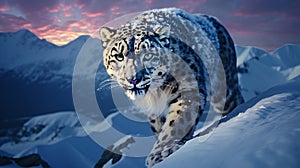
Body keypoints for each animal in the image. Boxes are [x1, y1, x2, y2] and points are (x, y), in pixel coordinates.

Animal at [98, 7, 244, 167]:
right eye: (119, 56)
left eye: (148, 55)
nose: (133, 79)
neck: (155, 94)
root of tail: (213, 19)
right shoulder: (153, 111)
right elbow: (160, 127)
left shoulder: (189, 89)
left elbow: (177, 122)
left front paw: (159, 153)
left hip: (224, 90)